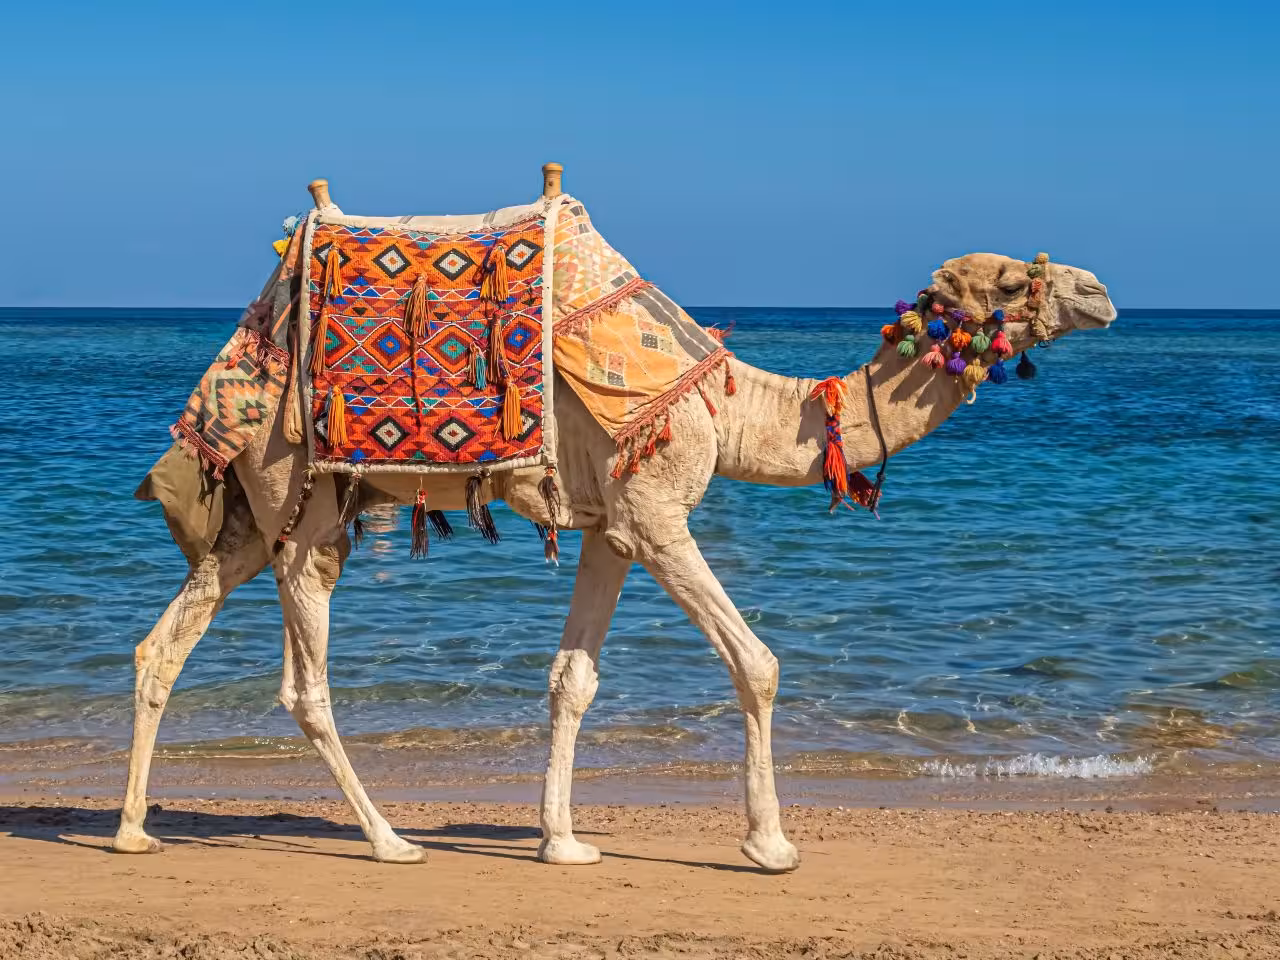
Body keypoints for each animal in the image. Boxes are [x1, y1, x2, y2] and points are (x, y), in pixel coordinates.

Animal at [111, 168, 1117, 872]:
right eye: (1006, 284)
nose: (1101, 290)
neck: (730, 404)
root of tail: (237, 363)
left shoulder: (609, 528)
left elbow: (572, 680)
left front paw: (562, 842)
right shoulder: (660, 516)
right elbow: (757, 663)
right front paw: (769, 844)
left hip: (252, 512)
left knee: (166, 643)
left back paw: (131, 832)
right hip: (304, 498)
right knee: (305, 682)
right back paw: (392, 840)